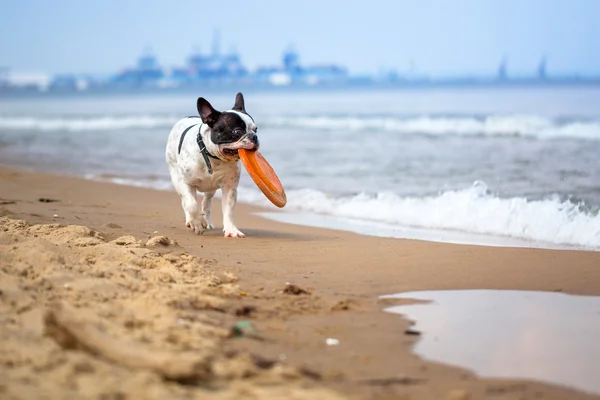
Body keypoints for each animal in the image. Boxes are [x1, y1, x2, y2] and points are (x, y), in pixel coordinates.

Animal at [165, 93, 258, 238]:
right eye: (237, 131)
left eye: (256, 129)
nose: (254, 137)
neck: (212, 157)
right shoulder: (186, 183)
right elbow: (191, 204)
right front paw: (197, 223)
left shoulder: (229, 188)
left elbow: (228, 210)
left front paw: (231, 230)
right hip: (175, 177)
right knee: (185, 201)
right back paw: (190, 221)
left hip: (211, 188)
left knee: (206, 203)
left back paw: (207, 221)